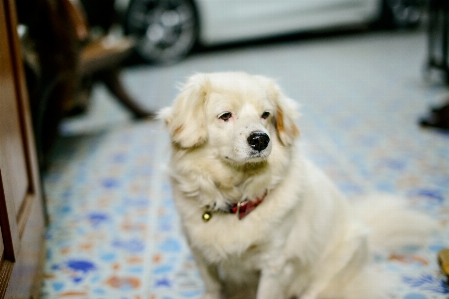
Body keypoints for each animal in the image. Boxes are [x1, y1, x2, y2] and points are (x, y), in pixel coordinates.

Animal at [159, 72, 436, 299]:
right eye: (225, 115)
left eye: (266, 115)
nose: (261, 139)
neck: (237, 198)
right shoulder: (201, 256)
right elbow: (213, 287)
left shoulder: (274, 266)